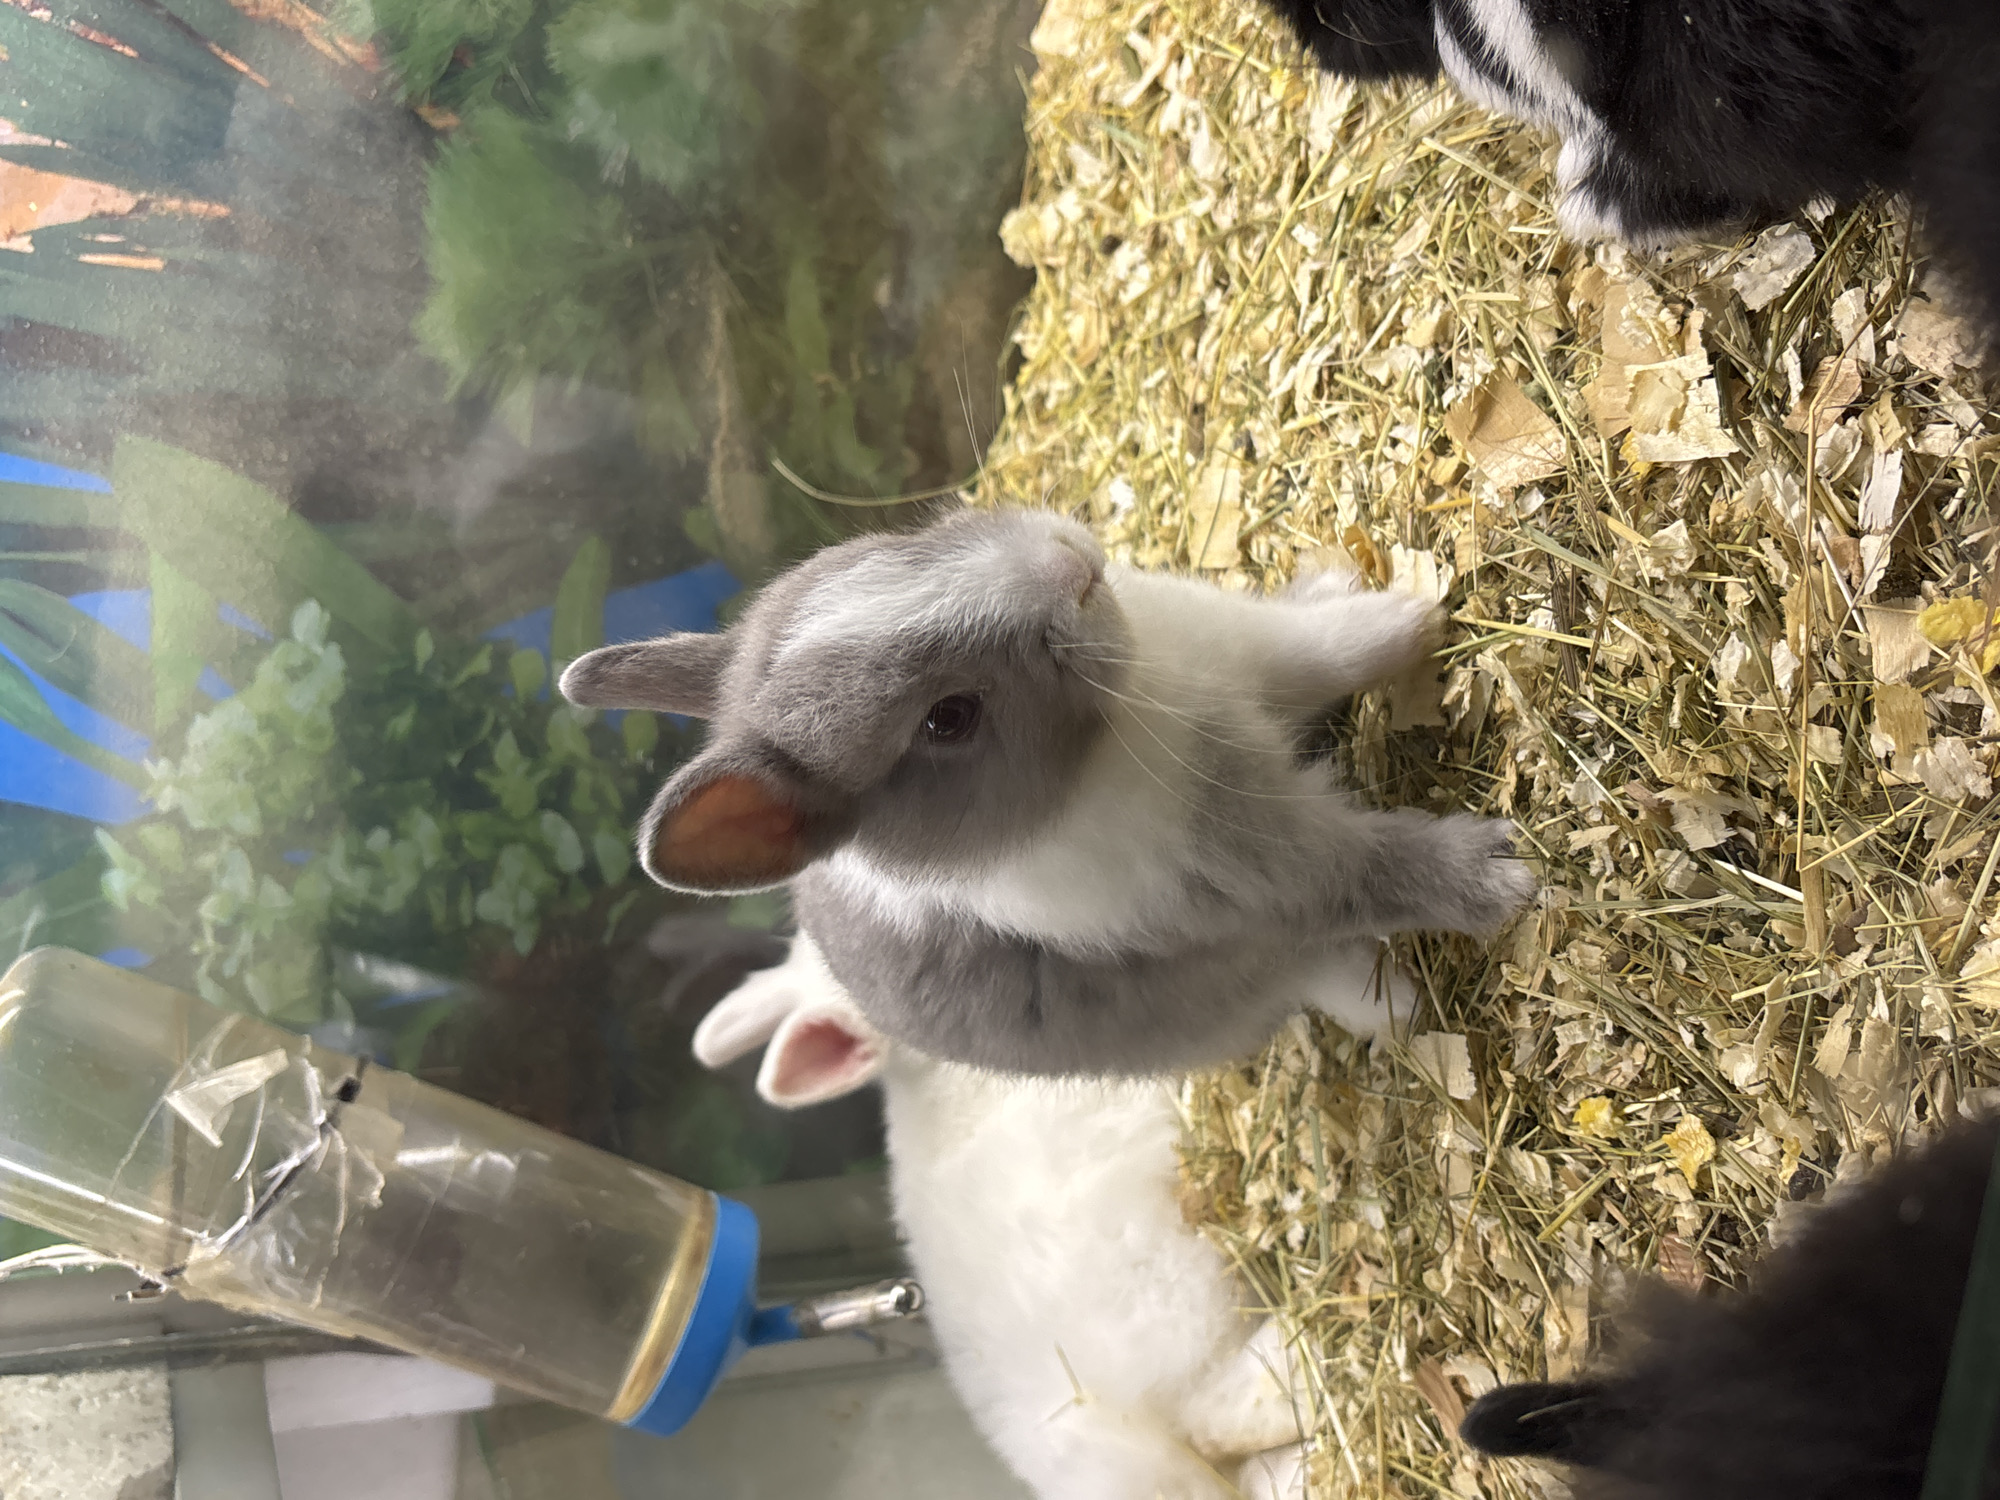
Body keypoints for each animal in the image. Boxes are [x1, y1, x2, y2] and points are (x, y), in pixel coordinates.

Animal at [561, 507, 1535, 1077]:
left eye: (889, 552)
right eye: (947, 719)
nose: (1072, 565)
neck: (1118, 723)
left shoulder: (1252, 651)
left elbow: (1335, 649)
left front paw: (1412, 609)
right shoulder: (1256, 867)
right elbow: (1371, 867)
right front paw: (1506, 877)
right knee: (1319, 971)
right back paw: (1400, 1005)